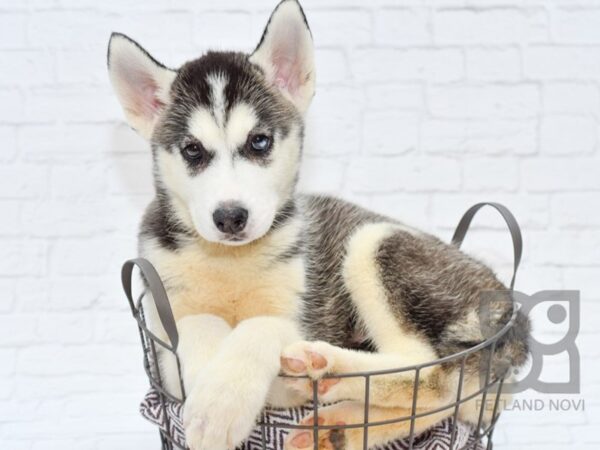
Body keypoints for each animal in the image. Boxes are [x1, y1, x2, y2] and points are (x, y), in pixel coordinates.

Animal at [105, 1, 528, 448]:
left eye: (259, 141)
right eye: (192, 150)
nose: (231, 217)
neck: (231, 261)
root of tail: (513, 311)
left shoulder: (297, 320)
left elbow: (261, 326)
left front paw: (220, 401)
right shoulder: (164, 341)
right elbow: (197, 323)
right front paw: (208, 381)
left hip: (372, 243)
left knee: (430, 372)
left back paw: (324, 365)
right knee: (445, 399)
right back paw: (335, 424)